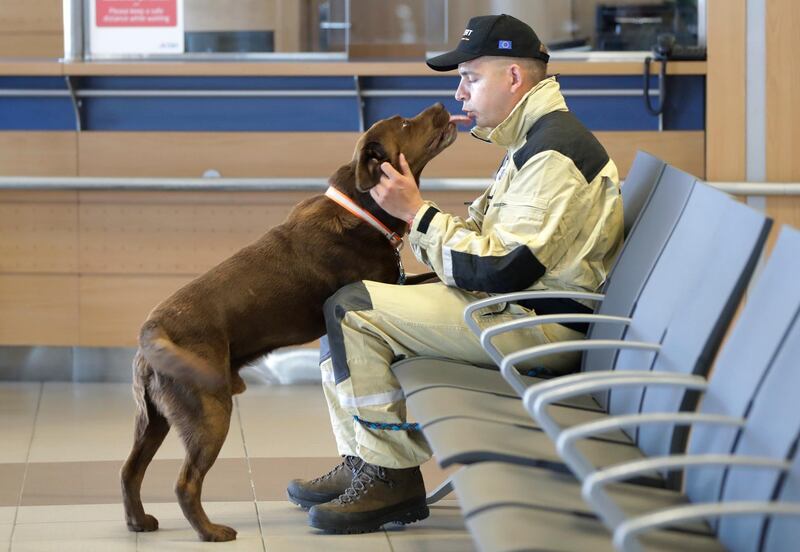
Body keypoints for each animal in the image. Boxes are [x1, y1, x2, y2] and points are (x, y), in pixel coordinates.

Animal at [119, 102, 456, 540]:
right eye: (404, 122)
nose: (440, 105)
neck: (362, 207)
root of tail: (151, 330)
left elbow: (431, 274)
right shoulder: (381, 283)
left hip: (153, 418)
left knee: (130, 470)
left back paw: (138, 521)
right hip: (209, 411)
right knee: (185, 482)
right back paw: (211, 532)